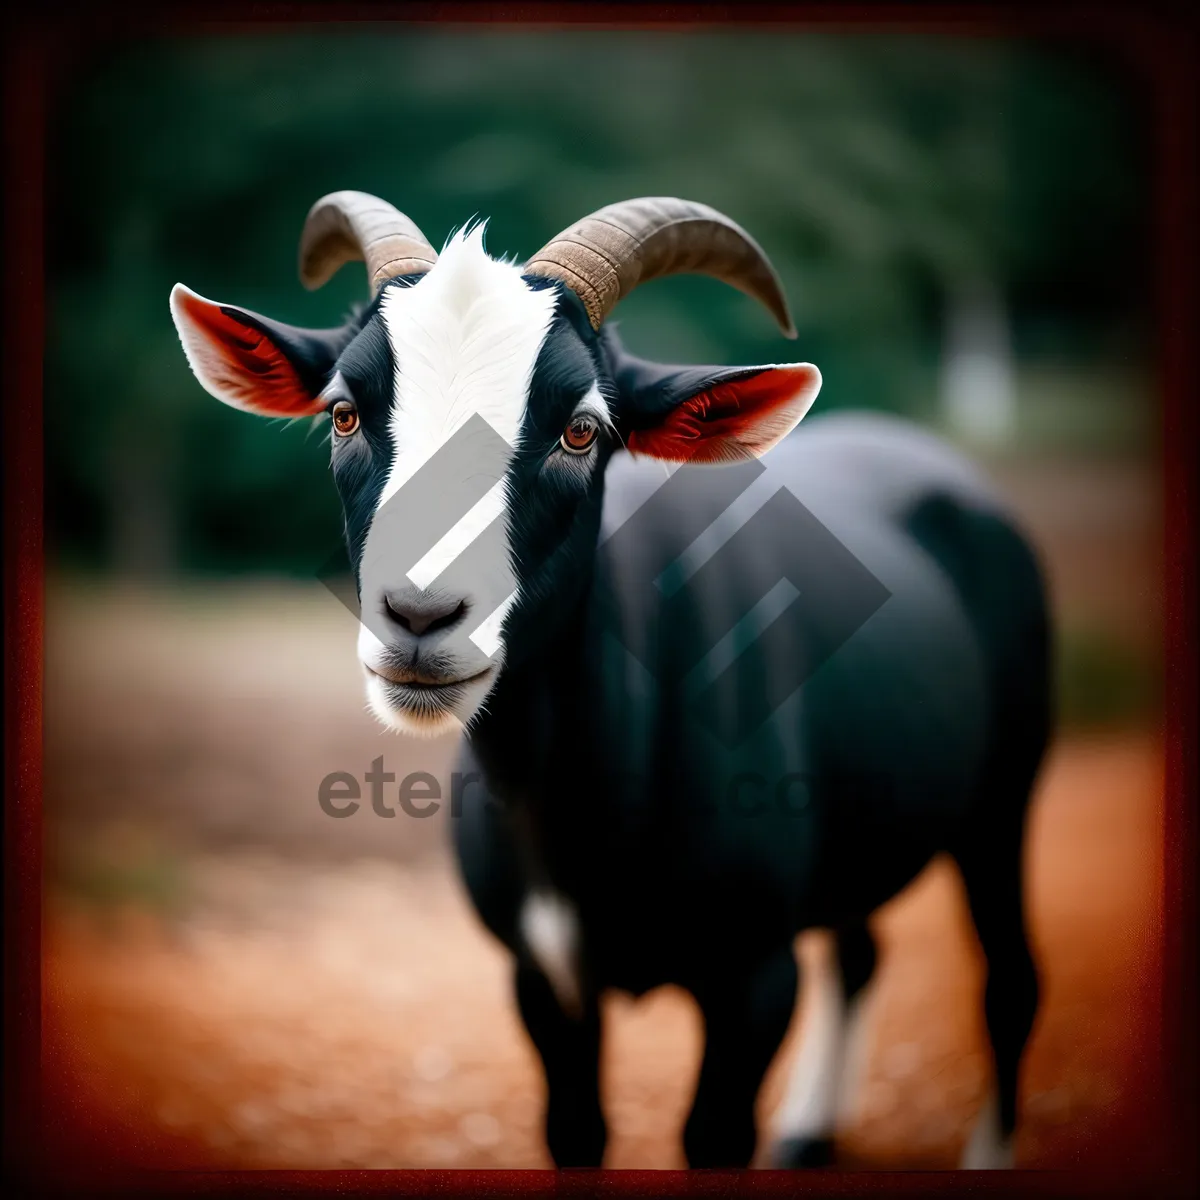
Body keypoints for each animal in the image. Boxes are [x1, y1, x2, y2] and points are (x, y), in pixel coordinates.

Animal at [169, 192, 1051, 1166]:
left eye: (582, 429)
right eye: (342, 413)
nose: (420, 616)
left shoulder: (752, 973)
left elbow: (713, 1135)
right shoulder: (540, 975)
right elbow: (575, 1131)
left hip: (1005, 793)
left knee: (1009, 979)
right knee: (861, 947)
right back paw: (809, 1130)